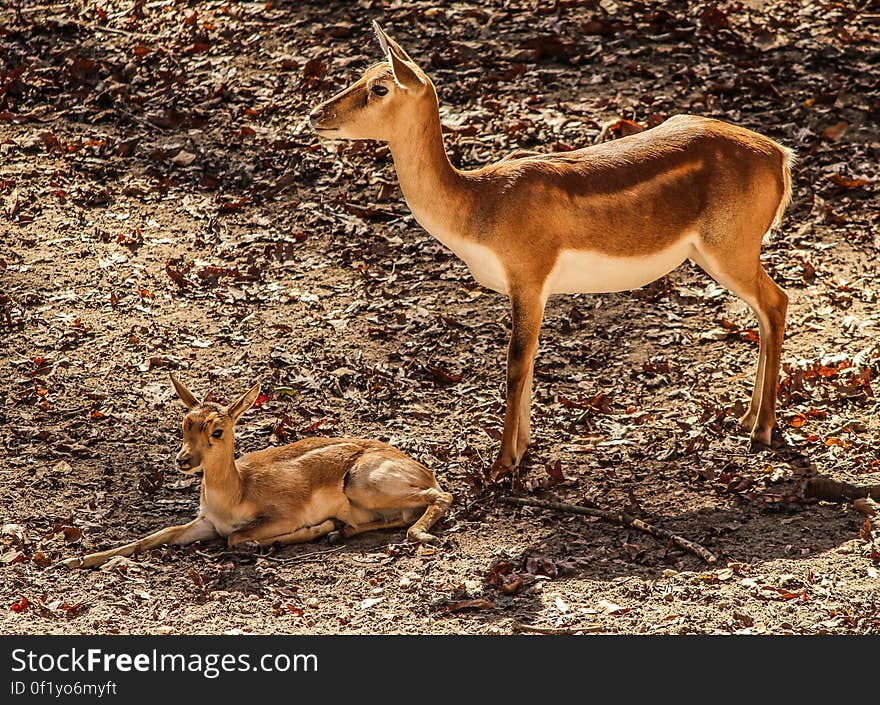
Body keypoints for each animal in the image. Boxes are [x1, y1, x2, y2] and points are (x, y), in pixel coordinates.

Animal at [62, 374, 450, 568]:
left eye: (218, 430)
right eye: (185, 423)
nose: (183, 460)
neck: (235, 495)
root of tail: (422, 468)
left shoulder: (279, 516)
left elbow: (236, 538)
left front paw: (316, 528)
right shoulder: (206, 522)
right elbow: (157, 535)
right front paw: (77, 559)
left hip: (365, 483)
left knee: (442, 496)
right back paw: (342, 531)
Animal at [312, 24, 796, 482]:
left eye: (381, 87)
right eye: (361, 75)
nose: (317, 113)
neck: (481, 206)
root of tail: (781, 156)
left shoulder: (528, 276)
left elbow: (515, 361)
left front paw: (501, 464)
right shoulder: (533, 289)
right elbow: (530, 358)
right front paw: (523, 450)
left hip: (729, 249)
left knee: (777, 301)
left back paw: (762, 429)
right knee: (765, 310)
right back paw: (747, 418)